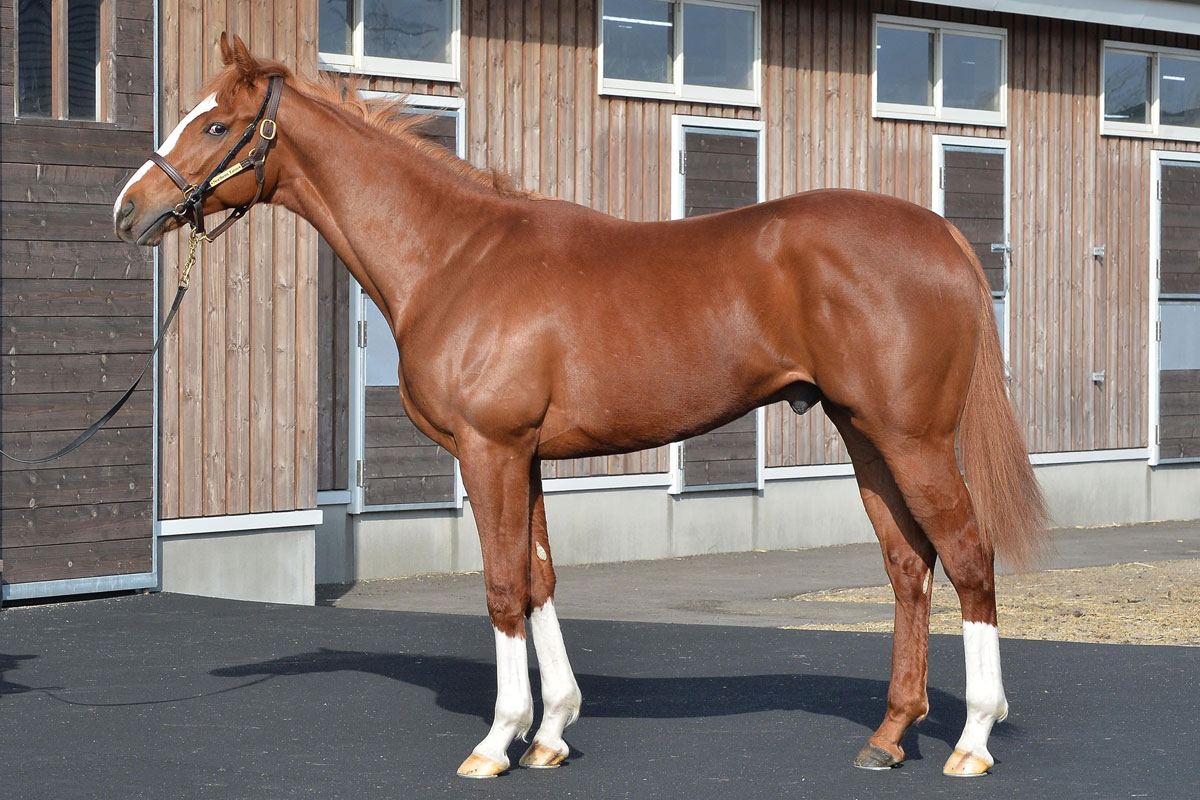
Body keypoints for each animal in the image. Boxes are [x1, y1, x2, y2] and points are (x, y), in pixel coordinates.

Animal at [114, 33, 1047, 779]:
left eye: (214, 125)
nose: (130, 211)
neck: (456, 257)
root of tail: (941, 235)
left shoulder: (489, 449)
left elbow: (500, 587)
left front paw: (498, 742)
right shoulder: (522, 455)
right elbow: (539, 579)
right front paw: (552, 731)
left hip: (913, 440)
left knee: (969, 558)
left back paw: (973, 740)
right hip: (865, 438)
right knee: (908, 566)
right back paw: (889, 736)